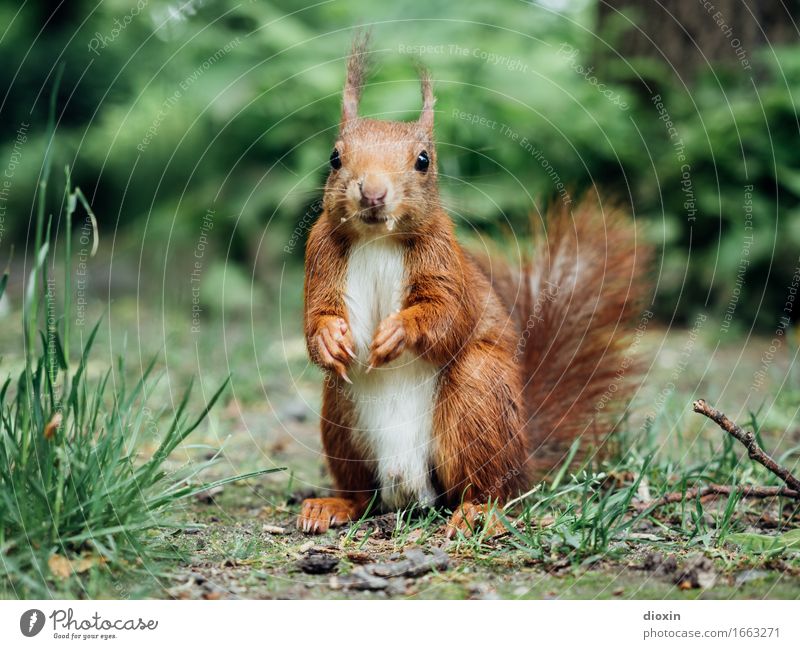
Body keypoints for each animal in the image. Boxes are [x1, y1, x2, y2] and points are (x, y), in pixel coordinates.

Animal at [296, 35, 648, 536]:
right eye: (335, 156)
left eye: (423, 161)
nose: (373, 193)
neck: (377, 239)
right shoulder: (320, 257)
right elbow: (316, 314)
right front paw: (329, 338)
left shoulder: (444, 260)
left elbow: (448, 314)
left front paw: (399, 331)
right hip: (341, 416)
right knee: (362, 494)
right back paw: (333, 506)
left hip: (477, 398)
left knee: (491, 488)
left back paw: (478, 512)